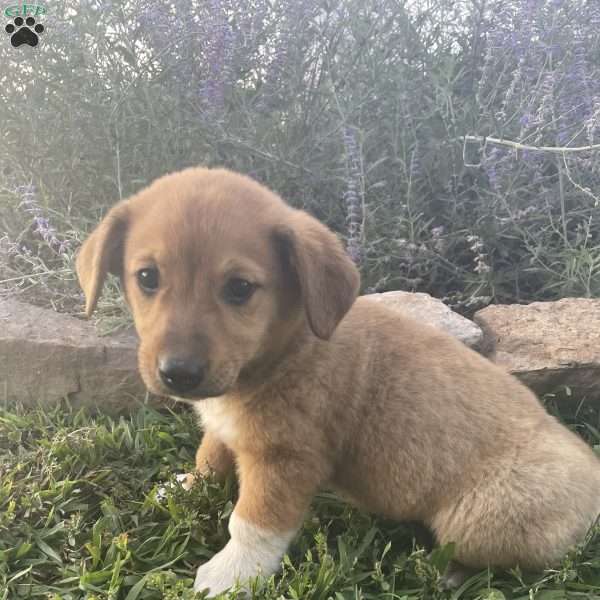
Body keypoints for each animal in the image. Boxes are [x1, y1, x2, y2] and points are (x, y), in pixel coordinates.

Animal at [77, 168, 600, 596]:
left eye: (239, 289)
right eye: (147, 277)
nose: (178, 373)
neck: (288, 348)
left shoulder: (285, 459)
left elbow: (252, 524)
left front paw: (232, 574)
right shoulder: (228, 431)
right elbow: (210, 455)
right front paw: (187, 486)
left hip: (475, 521)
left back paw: (450, 572)